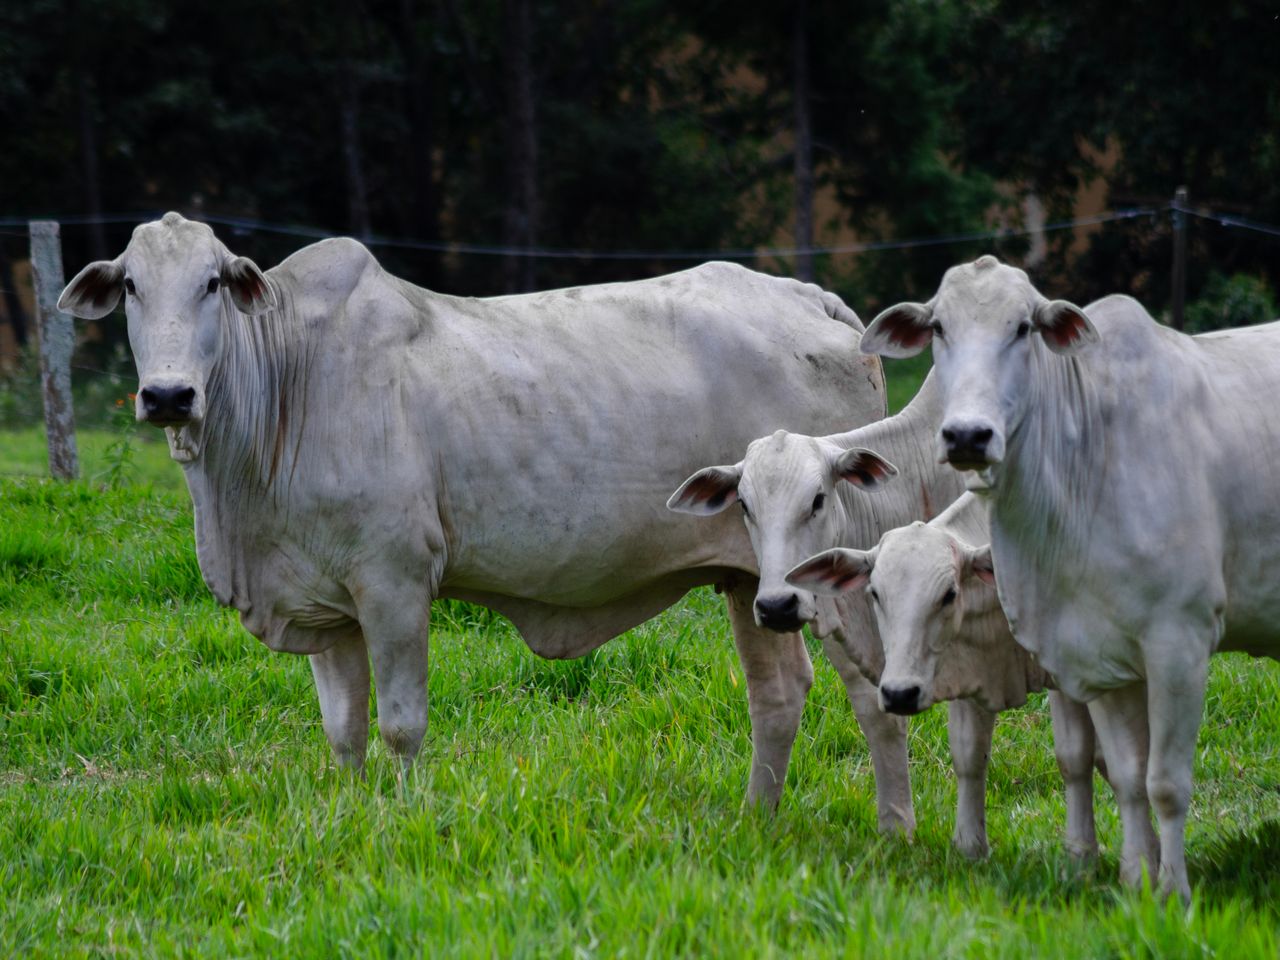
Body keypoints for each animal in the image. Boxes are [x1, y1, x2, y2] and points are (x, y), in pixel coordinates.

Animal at [57, 212, 893, 812]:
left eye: (211, 284)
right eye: (130, 286)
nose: (169, 394)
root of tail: (811, 299)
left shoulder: (393, 582)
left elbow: (400, 725)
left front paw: (405, 817)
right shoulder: (324, 601)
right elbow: (343, 732)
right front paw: (353, 813)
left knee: (875, 697)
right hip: (747, 580)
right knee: (777, 696)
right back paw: (757, 815)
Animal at [786, 491, 1102, 860]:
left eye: (949, 594)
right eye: (875, 593)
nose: (899, 694)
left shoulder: (1070, 674)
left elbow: (1075, 756)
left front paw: (1081, 855)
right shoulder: (971, 672)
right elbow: (969, 754)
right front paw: (970, 847)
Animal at [859, 254, 1280, 899]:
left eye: (1023, 328)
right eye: (938, 329)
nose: (967, 435)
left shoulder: (1179, 643)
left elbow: (1165, 782)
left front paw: (1173, 892)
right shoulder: (1095, 656)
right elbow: (1128, 775)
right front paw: (1135, 880)